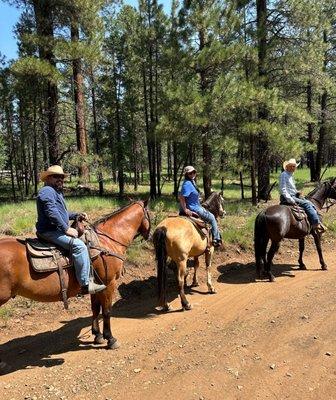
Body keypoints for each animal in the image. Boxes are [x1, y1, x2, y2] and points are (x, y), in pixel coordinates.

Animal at [0, 199, 150, 360]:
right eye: (150, 214)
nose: (149, 235)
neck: (106, 241)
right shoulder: (109, 283)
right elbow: (106, 311)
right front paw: (110, 338)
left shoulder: (96, 285)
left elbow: (95, 308)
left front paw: (97, 335)